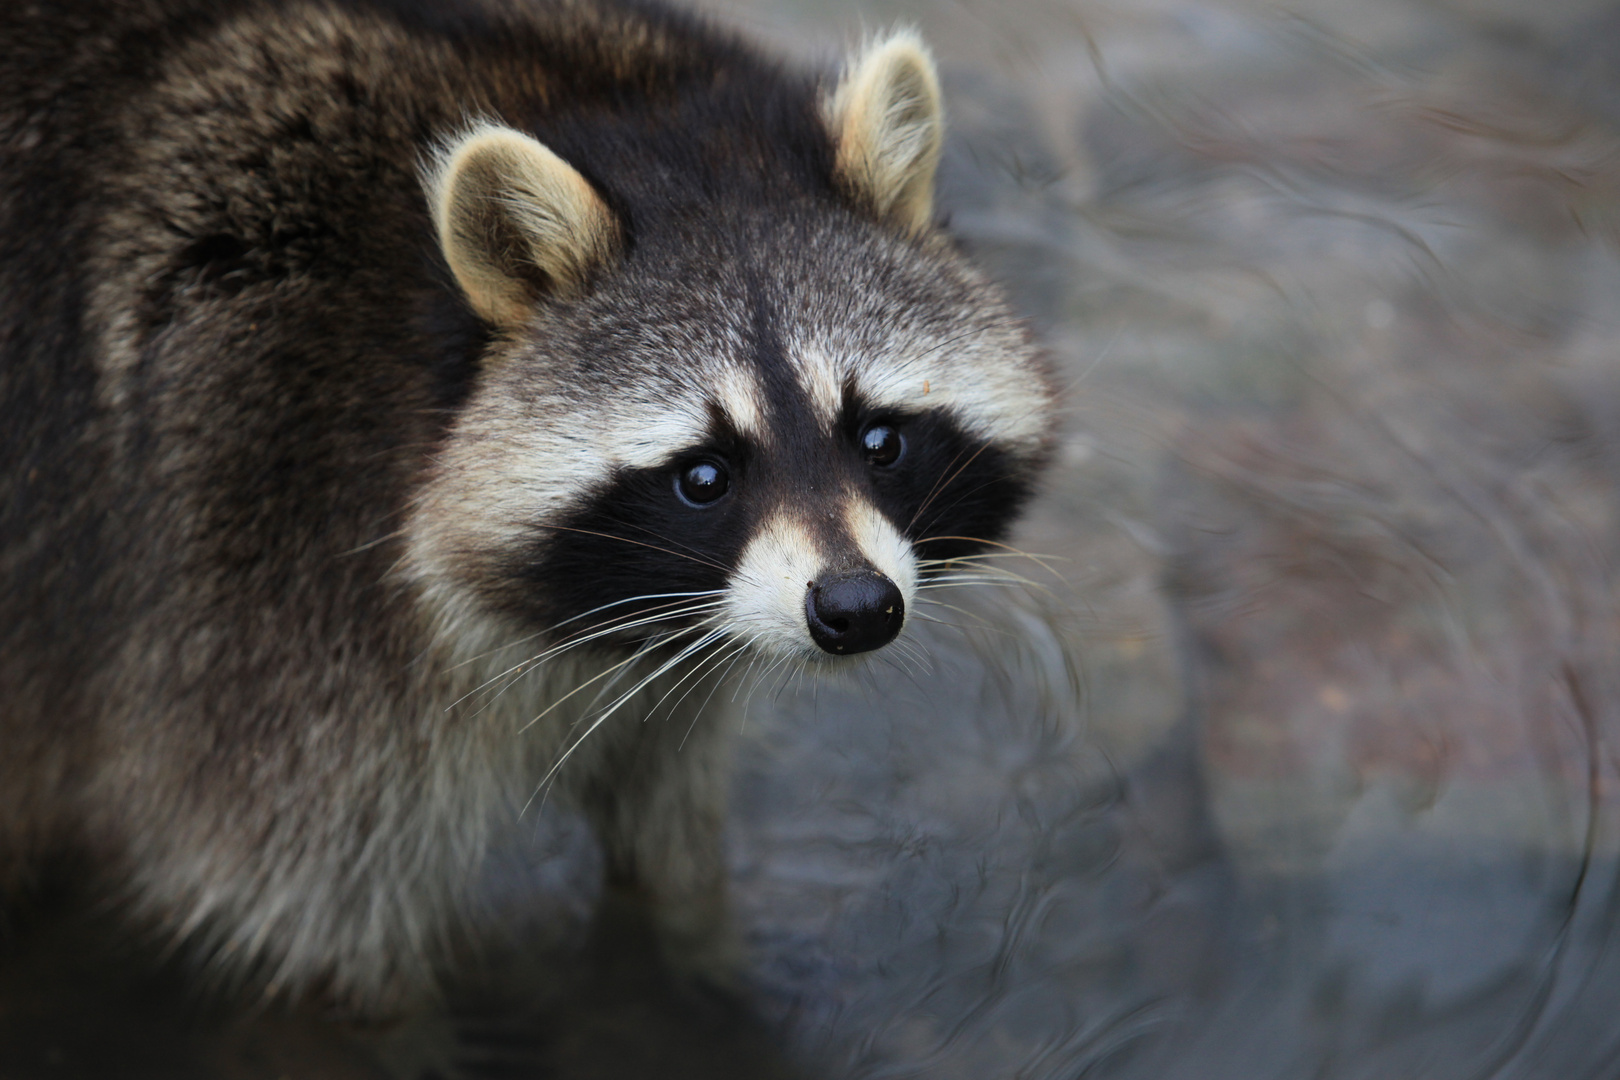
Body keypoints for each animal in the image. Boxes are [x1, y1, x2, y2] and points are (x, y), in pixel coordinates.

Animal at [0, 0, 1049, 1016]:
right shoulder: (258, 580)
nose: (857, 609)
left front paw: (691, 955)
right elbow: (318, 946)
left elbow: (665, 831)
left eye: (879, 440)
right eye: (704, 477)